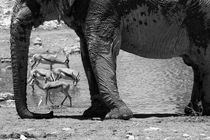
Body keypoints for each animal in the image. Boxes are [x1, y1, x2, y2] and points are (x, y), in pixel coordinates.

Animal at [10, 0, 210, 120]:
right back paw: (194, 112)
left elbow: (98, 46)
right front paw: (94, 113)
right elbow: (86, 51)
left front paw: (119, 114)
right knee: (198, 64)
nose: (48, 113)